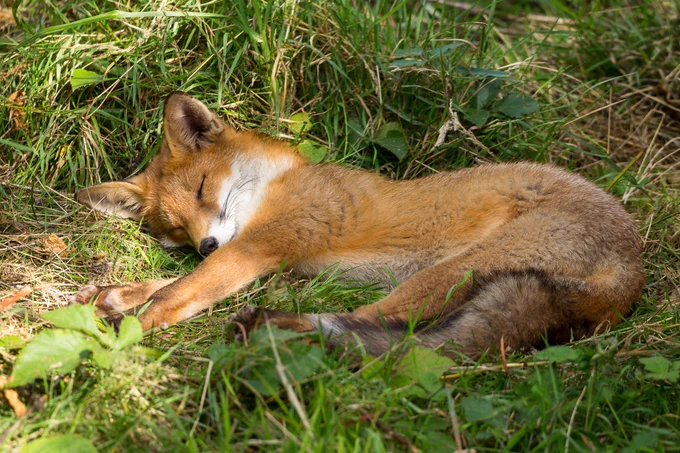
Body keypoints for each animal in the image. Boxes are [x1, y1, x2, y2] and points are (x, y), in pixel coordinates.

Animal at [74, 92, 645, 358]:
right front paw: (116, 295)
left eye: (201, 189)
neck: (278, 185)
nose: (205, 244)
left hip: (453, 271)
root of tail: (634, 270)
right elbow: (169, 282)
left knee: (378, 326)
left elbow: (175, 293)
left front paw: (120, 334)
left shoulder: (267, 243)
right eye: (175, 230)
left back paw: (276, 329)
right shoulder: (281, 260)